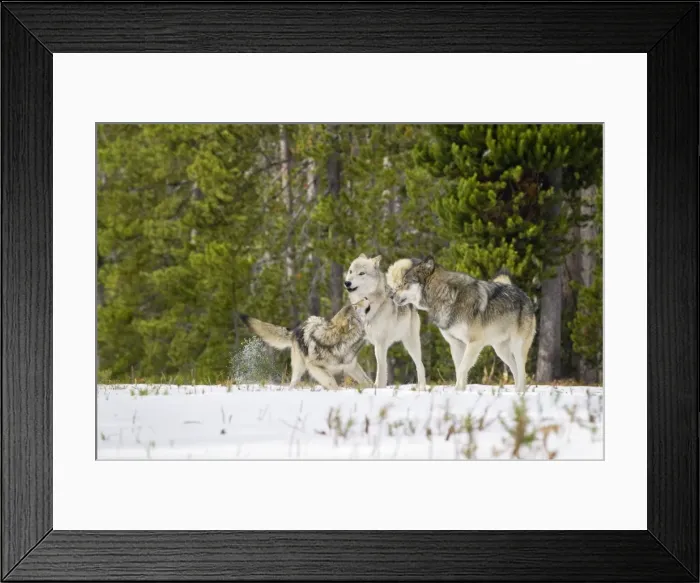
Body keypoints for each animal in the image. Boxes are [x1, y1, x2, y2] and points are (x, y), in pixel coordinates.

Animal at [239, 300, 373, 390]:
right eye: (356, 306)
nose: (366, 297)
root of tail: (296, 330)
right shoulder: (314, 367)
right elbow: (332, 382)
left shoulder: (351, 366)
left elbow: (368, 381)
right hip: (299, 368)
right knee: (293, 382)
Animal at [344, 254, 426, 390]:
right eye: (350, 271)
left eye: (361, 273)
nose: (347, 283)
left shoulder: (380, 344)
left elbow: (381, 369)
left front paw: (379, 387)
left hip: (411, 344)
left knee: (420, 366)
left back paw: (422, 388)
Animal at [390, 257, 536, 393]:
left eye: (404, 283)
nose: (391, 296)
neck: (446, 296)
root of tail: (523, 294)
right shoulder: (456, 344)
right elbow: (459, 370)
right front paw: (459, 391)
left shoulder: (474, 343)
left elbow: (462, 369)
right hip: (501, 351)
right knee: (514, 369)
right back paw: (517, 393)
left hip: (517, 347)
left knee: (522, 370)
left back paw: (521, 393)